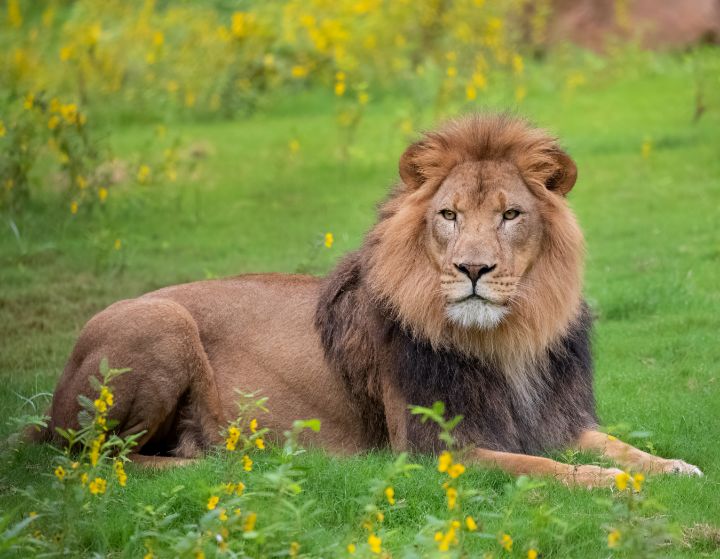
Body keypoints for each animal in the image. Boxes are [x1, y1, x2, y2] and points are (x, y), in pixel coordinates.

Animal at [38, 113, 702, 486]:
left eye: (511, 215)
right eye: (449, 216)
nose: (473, 269)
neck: (507, 339)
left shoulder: (555, 420)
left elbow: (617, 445)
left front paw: (674, 467)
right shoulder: (438, 449)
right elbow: (543, 467)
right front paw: (609, 481)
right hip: (159, 320)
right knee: (94, 458)